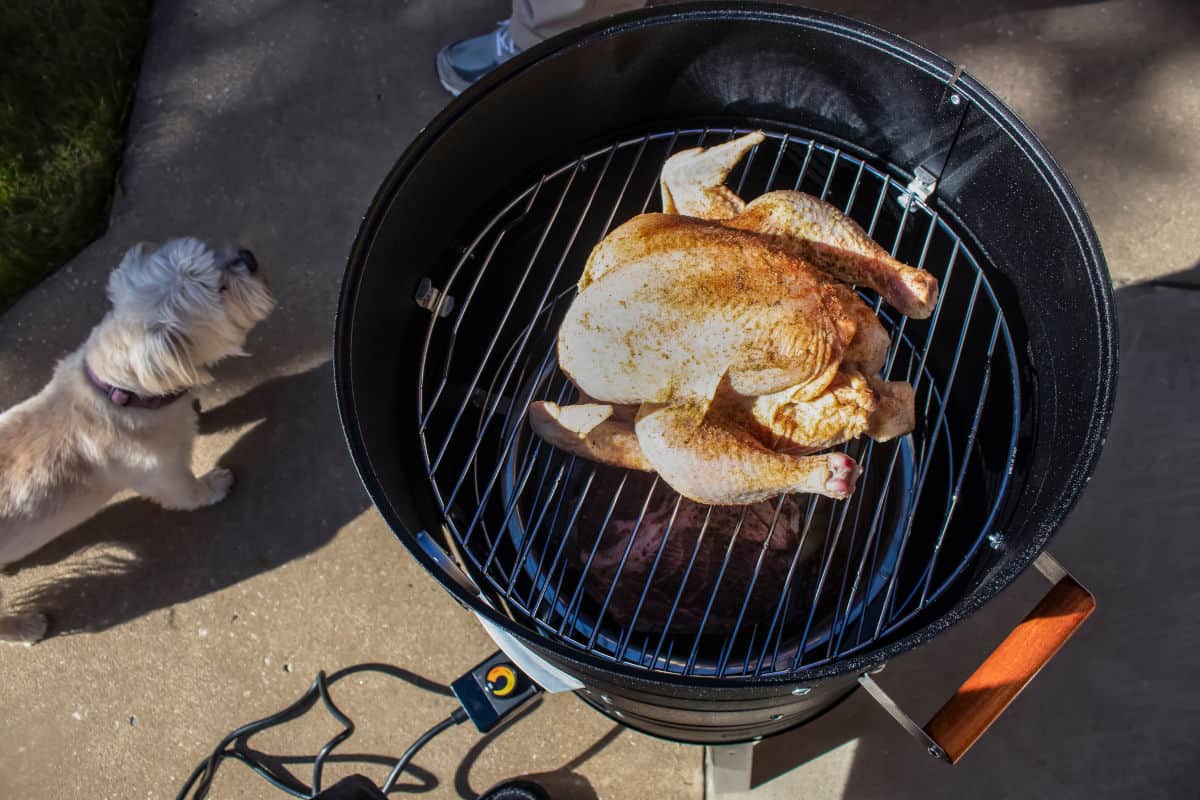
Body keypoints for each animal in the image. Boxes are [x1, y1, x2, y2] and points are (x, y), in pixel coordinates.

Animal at [0, 239, 274, 642]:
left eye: (211, 255)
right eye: (221, 289)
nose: (249, 257)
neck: (118, 392)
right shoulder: (163, 474)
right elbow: (188, 492)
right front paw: (213, 485)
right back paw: (25, 627)